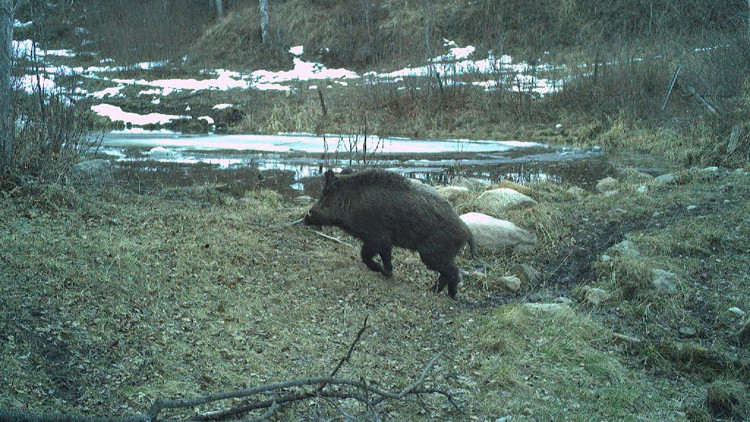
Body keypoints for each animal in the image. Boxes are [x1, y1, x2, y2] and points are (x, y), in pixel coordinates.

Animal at [304, 169, 477, 299]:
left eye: (325, 196)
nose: (306, 217)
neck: (352, 202)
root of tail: (466, 231)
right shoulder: (385, 242)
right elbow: (385, 256)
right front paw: (388, 273)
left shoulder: (376, 237)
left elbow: (365, 256)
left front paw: (382, 271)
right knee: (448, 273)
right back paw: (437, 292)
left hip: (432, 253)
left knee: (453, 271)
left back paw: (446, 294)